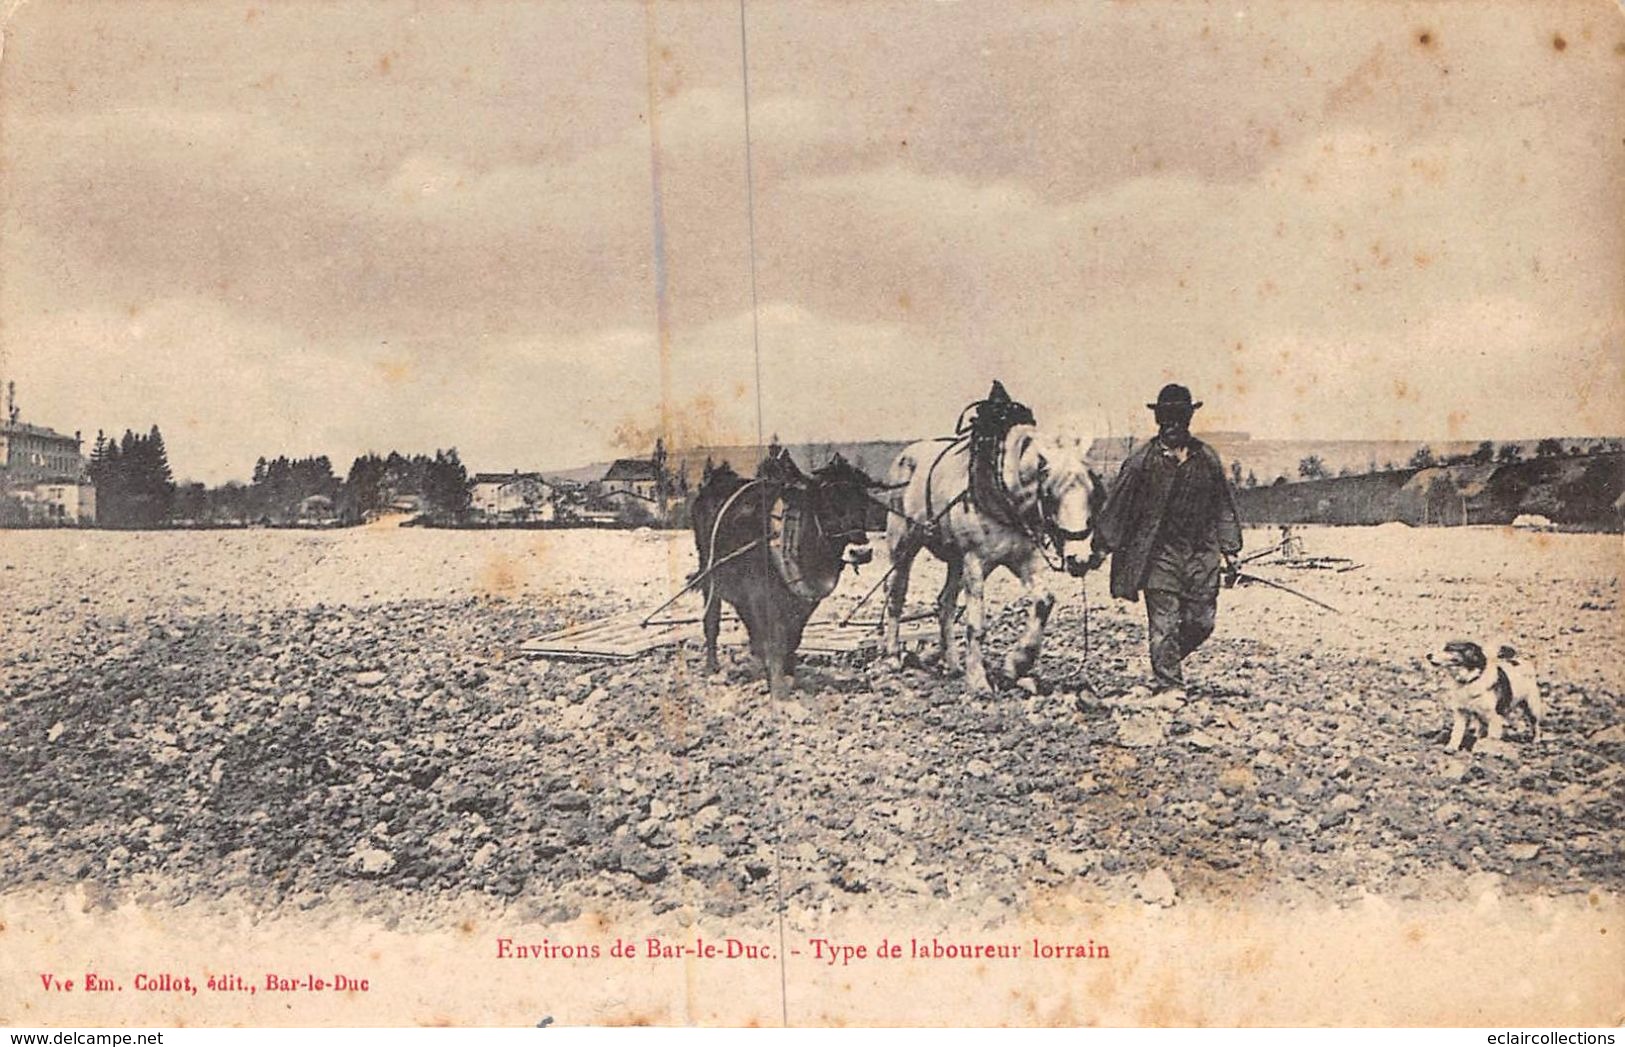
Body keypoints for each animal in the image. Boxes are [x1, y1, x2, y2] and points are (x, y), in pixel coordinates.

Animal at [692, 448, 884, 695]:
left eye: (864, 500)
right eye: (827, 501)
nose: (860, 551)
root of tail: (718, 482)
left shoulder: (805, 599)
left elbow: (794, 636)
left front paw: (790, 674)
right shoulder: (760, 593)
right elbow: (771, 636)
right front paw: (776, 681)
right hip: (710, 575)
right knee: (713, 621)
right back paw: (712, 667)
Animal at [884, 425, 1111, 695]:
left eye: (1093, 495)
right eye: (1050, 495)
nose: (1081, 558)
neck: (1003, 493)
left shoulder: (1023, 559)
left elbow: (1044, 601)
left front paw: (1016, 664)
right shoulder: (974, 561)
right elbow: (975, 625)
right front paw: (978, 680)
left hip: (956, 561)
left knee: (945, 604)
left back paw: (953, 664)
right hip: (903, 545)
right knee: (896, 595)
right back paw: (892, 656)